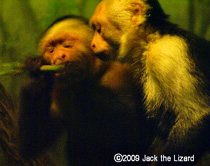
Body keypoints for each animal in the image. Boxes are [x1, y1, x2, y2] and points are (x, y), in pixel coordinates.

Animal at [19, 15, 154, 165]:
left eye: (67, 45)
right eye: (51, 51)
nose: (58, 57)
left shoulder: (124, 69)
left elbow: (133, 129)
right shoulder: (58, 89)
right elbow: (31, 146)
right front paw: (36, 77)